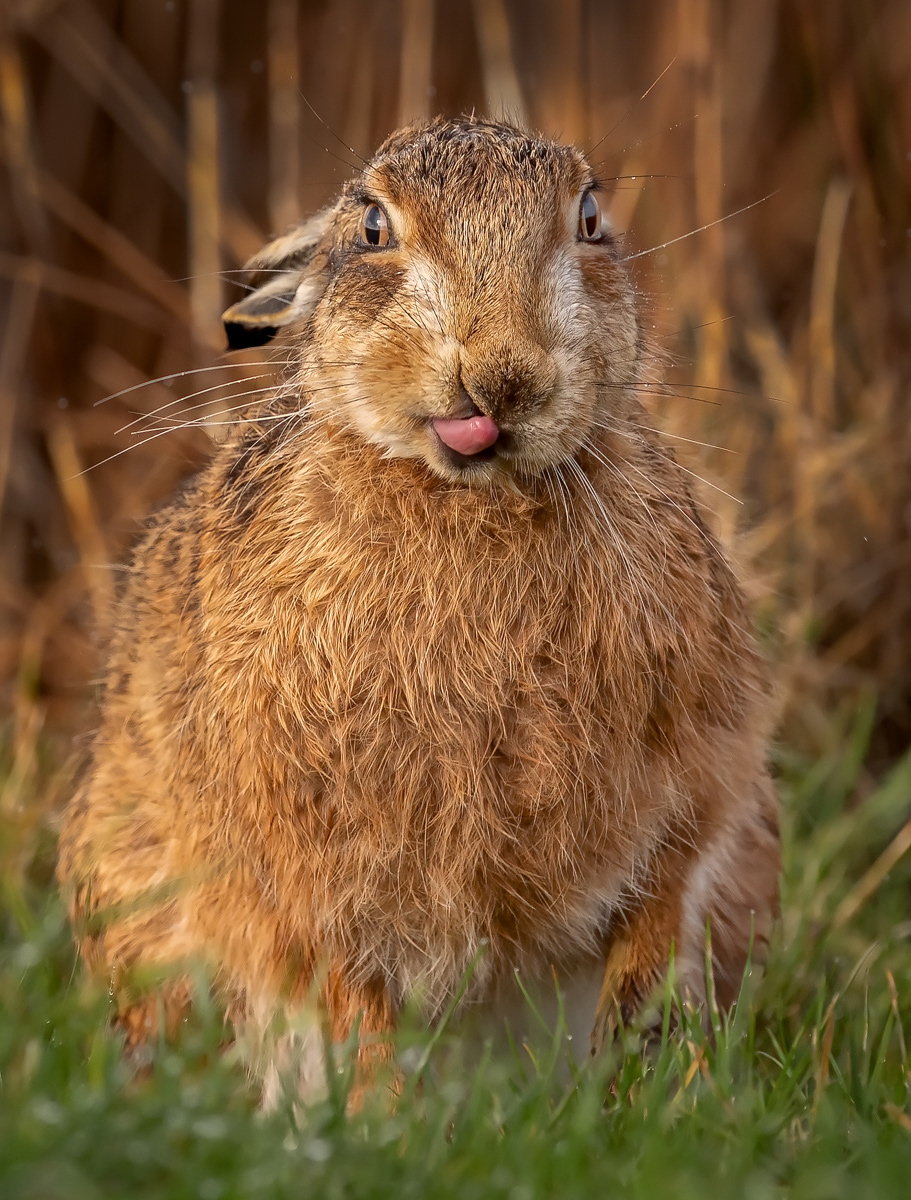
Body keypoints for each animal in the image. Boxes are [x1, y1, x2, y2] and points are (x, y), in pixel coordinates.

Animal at [57, 115, 780, 1102]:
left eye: (589, 221)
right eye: (372, 230)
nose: (502, 375)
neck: (470, 499)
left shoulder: (704, 774)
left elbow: (658, 910)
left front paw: (637, 1059)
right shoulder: (307, 846)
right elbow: (349, 986)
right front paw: (377, 1112)